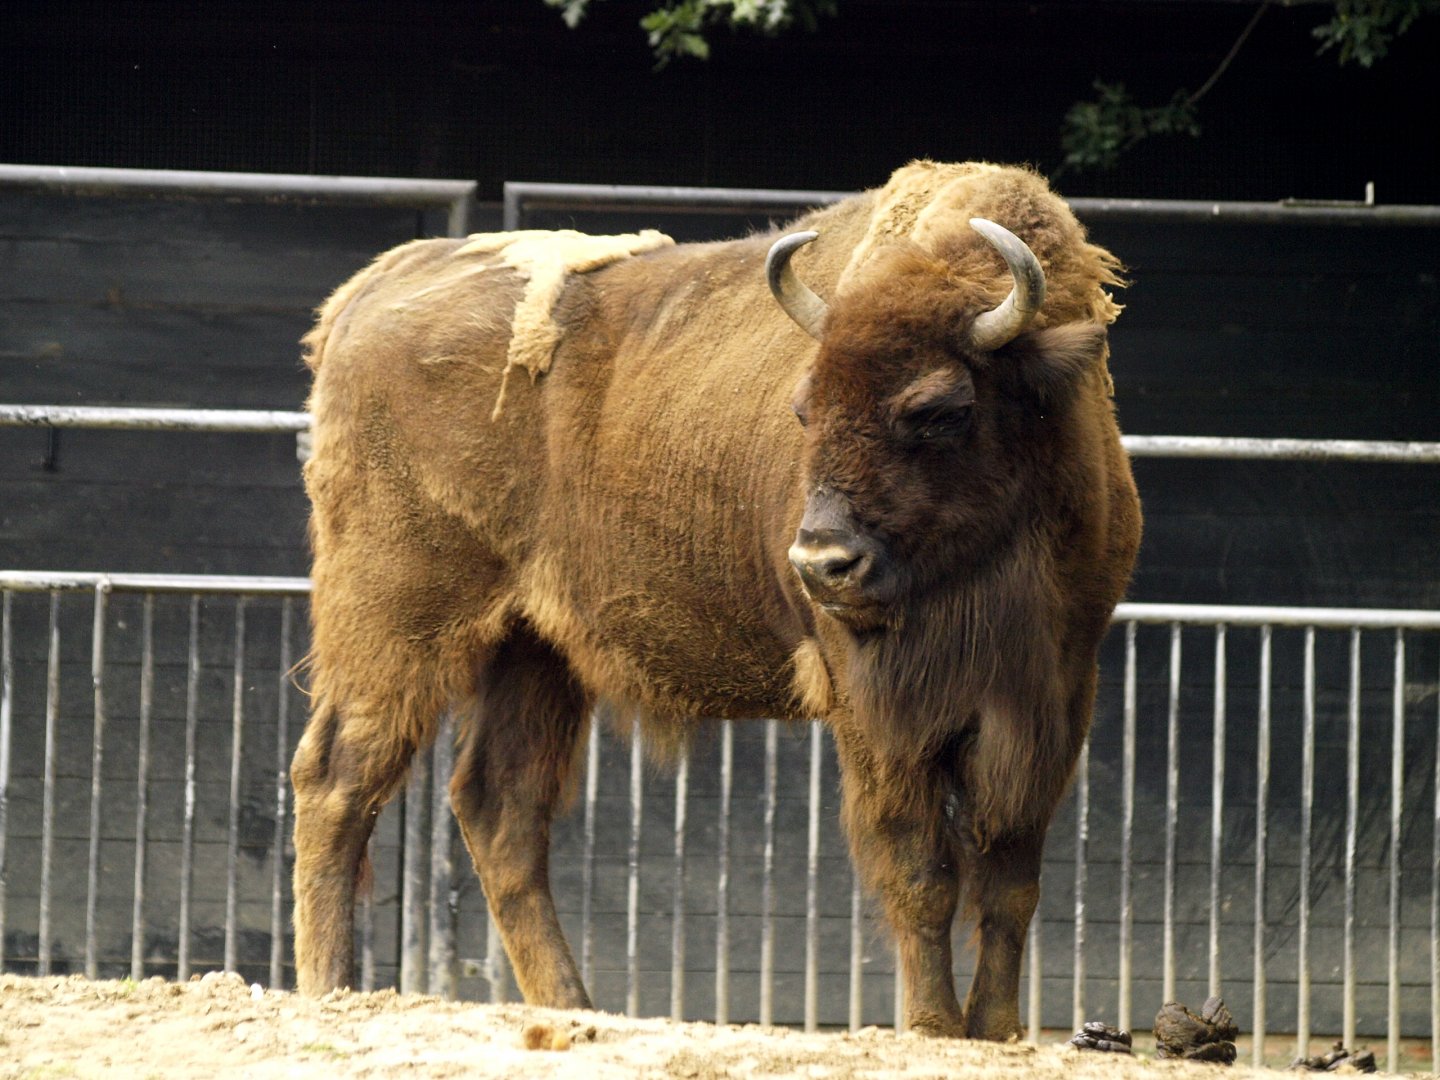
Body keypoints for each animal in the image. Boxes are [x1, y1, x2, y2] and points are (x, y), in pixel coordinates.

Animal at [290, 159, 1141, 1040]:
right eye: (803, 408)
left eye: (942, 408)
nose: (821, 563)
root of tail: (370, 292)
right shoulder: (877, 712)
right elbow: (921, 870)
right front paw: (934, 1026)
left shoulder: (1053, 697)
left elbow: (1011, 876)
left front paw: (997, 1028)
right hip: (395, 621)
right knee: (338, 777)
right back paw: (330, 990)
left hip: (534, 650)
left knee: (500, 808)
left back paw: (574, 1005)